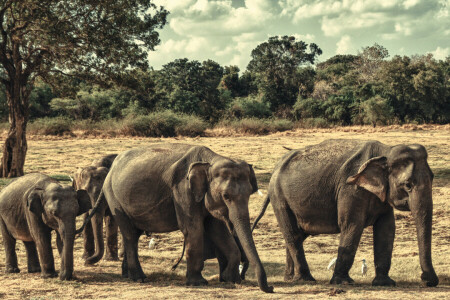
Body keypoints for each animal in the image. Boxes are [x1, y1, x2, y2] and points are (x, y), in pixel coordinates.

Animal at [79, 143, 272, 292]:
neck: (210, 160)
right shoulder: (182, 190)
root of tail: (111, 169)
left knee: (133, 234)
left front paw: (229, 279)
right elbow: (193, 229)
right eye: (226, 196)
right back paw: (139, 278)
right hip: (114, 198)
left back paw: (128, 275)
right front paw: (198, 283)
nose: (270, 288)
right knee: (129, 234)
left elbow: (218, 230)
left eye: (250, 193)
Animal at [251, 139, 438, 288]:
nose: (427, 281)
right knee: (293, 234)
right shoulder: (350, 189)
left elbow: (386, 229)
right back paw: (306, 279)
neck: (386, 151)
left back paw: (291, 279)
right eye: (408, 185)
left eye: (432, 177)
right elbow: (351, 225)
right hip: (280, 197)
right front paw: (343, 282)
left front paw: (385, 283)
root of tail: (276, 167)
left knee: (296, 235)